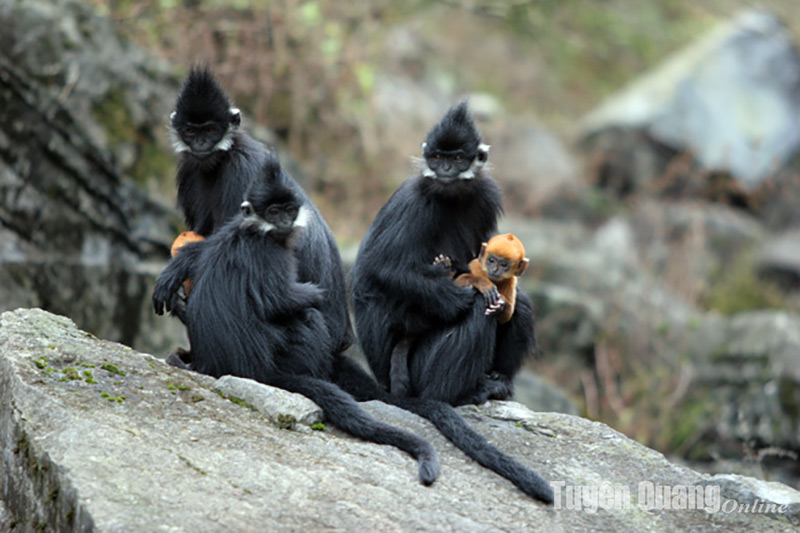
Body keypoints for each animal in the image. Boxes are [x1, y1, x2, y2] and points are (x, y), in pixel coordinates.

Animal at [153, 156, 440, 484]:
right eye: (274, 212)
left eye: (289, 210)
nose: (284, 222)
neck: (253, 231)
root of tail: (249, 370)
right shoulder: (269, 251)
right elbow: (279, 299)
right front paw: (314, 293)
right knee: (307, 316)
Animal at [167, 66, 352, 356]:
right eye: (190, 131)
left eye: (211, 129)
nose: (201, 143)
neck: (220, 159)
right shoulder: (189, 168)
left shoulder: (243, 169)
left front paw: (179, 265)